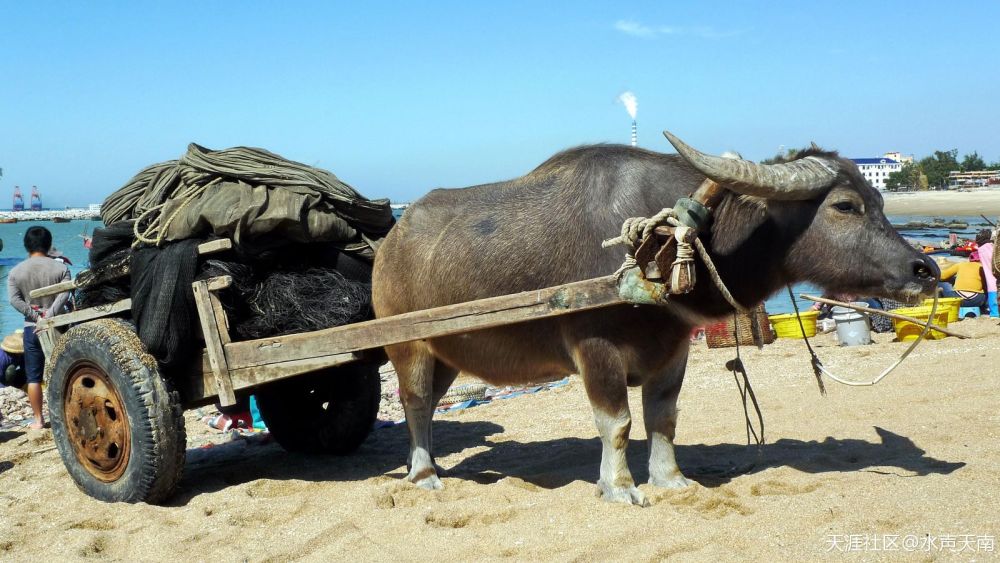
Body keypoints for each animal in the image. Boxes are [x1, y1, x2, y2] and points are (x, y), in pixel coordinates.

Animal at [372, 132, 940, 506]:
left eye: (879, 200)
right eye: (844, 206)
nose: (926, 269)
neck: (663, 242)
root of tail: (392, 239)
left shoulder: (674, 347)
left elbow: (662, 418)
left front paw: (670, 480)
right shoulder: (596, 350)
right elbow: (618, 423)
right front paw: (620, 486)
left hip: (447, 353)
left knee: (428, 403)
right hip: (407, 346)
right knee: (416, 404)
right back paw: (423, 474)